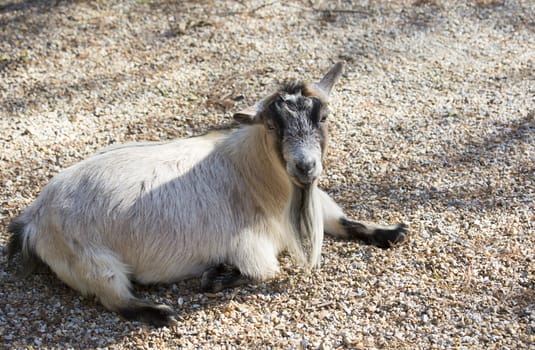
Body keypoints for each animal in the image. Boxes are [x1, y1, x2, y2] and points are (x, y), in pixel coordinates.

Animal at [4, 62, 408, 326]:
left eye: (323, 118)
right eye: (272, 125)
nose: (305, 166)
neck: (256, 176)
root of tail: (34, 216)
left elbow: (348, 221)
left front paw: (391, 231)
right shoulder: (251, 247)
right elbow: (261, 273)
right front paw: (216, 274)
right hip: (91, 262)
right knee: (116, 299)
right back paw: (160, 313)